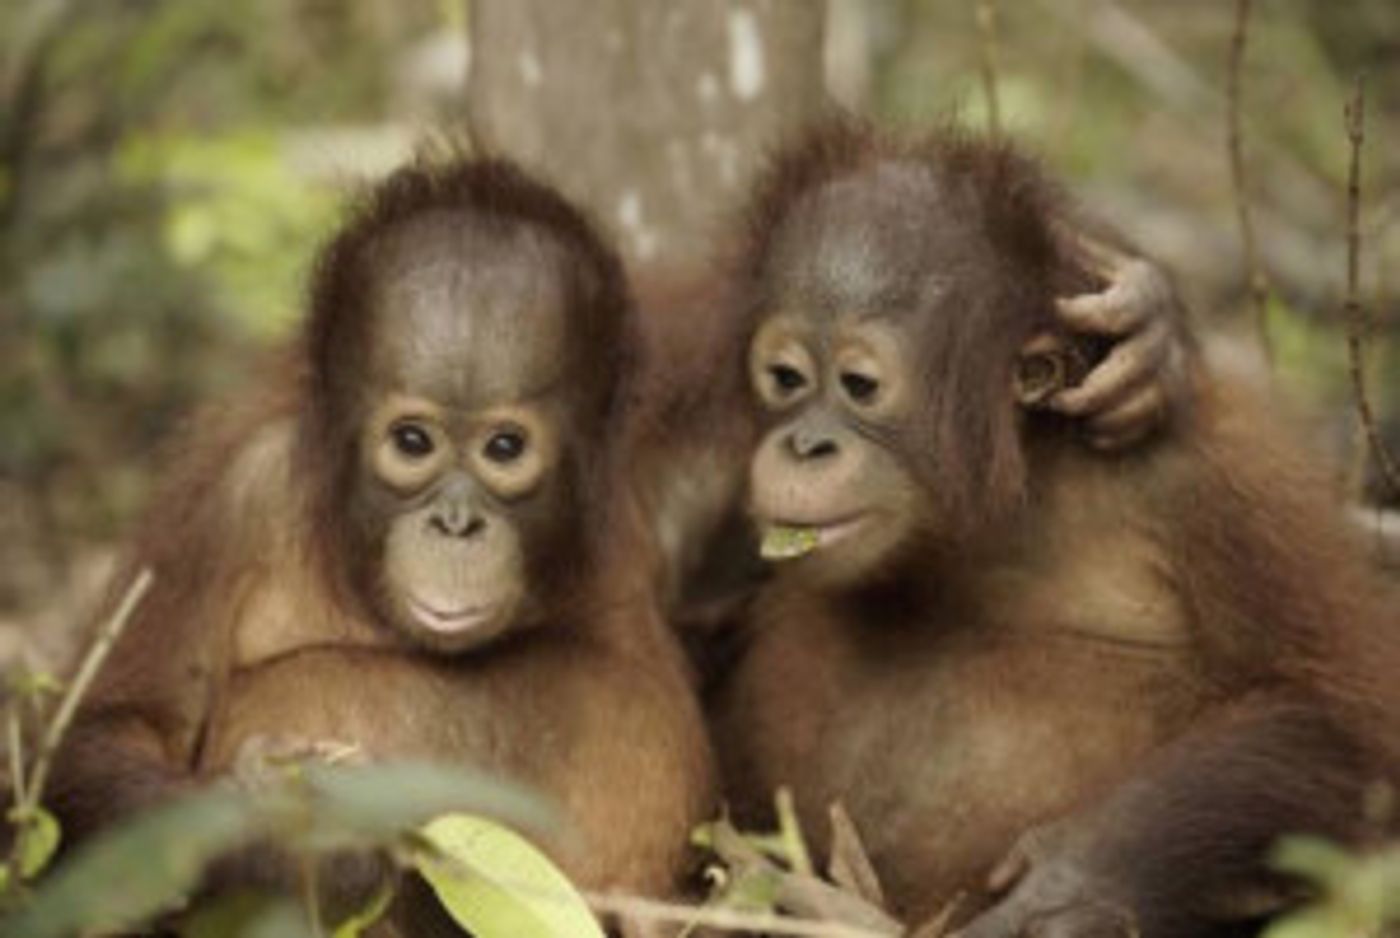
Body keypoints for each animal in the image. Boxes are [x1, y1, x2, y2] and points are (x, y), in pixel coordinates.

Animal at [44, 156, 715, 933]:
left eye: (505, 448)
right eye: (413, 441)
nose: (456, 523)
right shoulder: (225, 505)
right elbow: (108, 730)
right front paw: (292, 835)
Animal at [709, 120, 1400, 938]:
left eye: (859, 386)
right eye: (785, 379)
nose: (805, 445)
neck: (1001, 507)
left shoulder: (1221, 487)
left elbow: (1350, 719)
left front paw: (1074, 878)